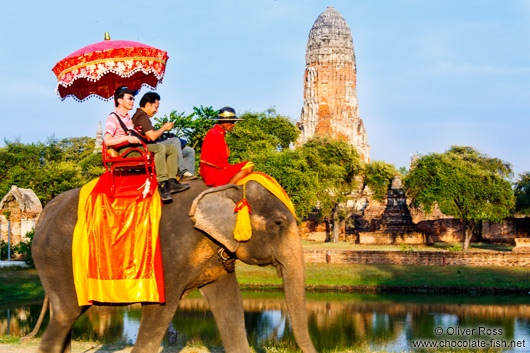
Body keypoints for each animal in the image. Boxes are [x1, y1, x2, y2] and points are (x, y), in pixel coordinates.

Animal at [33, 179, 316, 352]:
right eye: (278, 224)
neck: (225, 188)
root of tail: (43, 213)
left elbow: (230, 303)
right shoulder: (170, 252)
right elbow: (160, 310)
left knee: (68, 316)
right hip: (54, 258)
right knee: (67, 313)